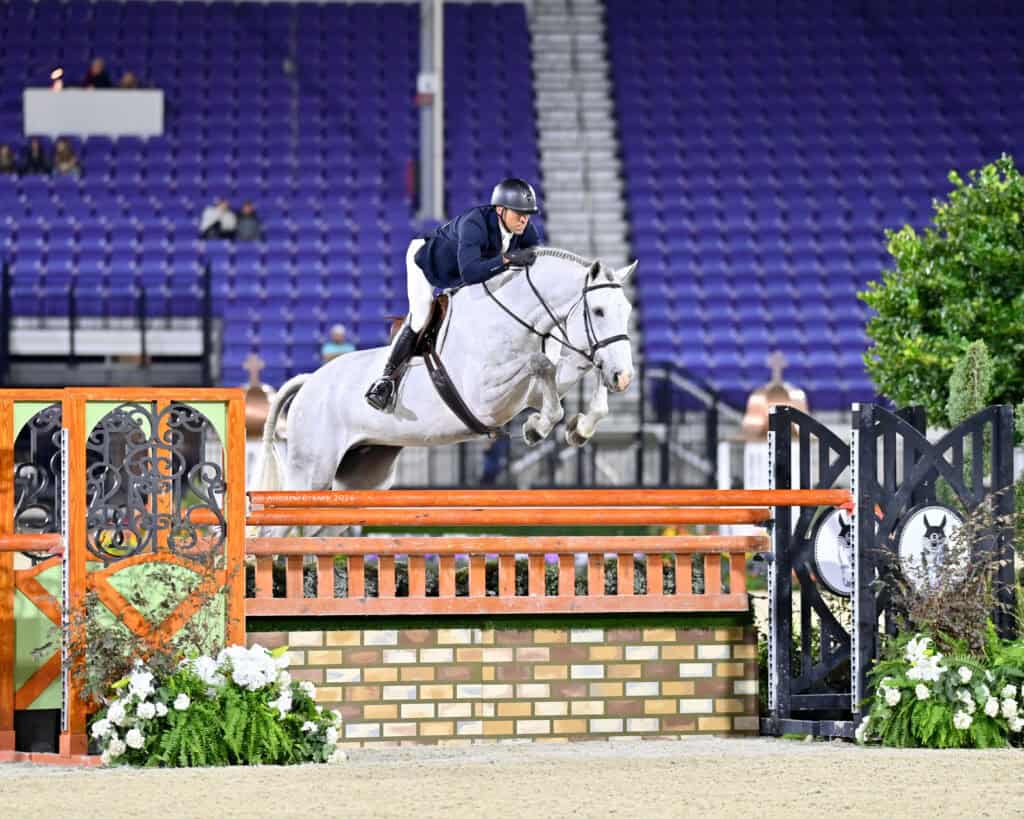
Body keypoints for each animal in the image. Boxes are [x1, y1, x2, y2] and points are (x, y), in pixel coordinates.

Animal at [255, 248, 637, 496]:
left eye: (628, 310)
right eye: (599, 311)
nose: (624, 377)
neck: (513, 315)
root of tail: (309, 382)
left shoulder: (528, 391)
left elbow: (576, 369)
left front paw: (579, 426)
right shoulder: (485, 399)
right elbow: (539, 365)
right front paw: (536, 428)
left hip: (361, 476)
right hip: (311, 472)